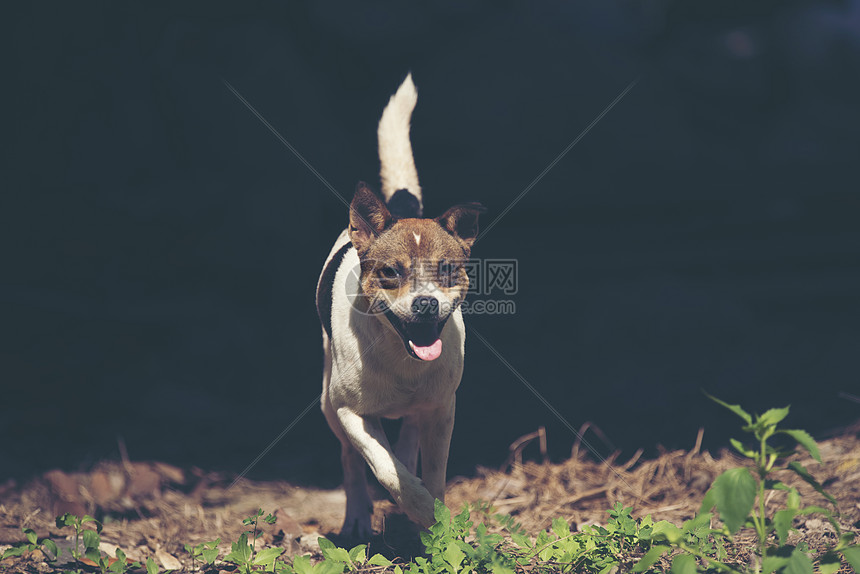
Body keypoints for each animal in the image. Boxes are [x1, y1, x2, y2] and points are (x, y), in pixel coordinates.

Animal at [316, 75, 484, 540]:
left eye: (447, 269)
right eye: (391, 272)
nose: (425, 304)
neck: (400, 354)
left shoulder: (442, 410)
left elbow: (435, 473)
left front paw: (434, 518)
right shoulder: (350, 413)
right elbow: (385, 470)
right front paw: (419, 508)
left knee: (408, 435)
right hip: (327, 405)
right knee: (352, 463)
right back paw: (357, 517)